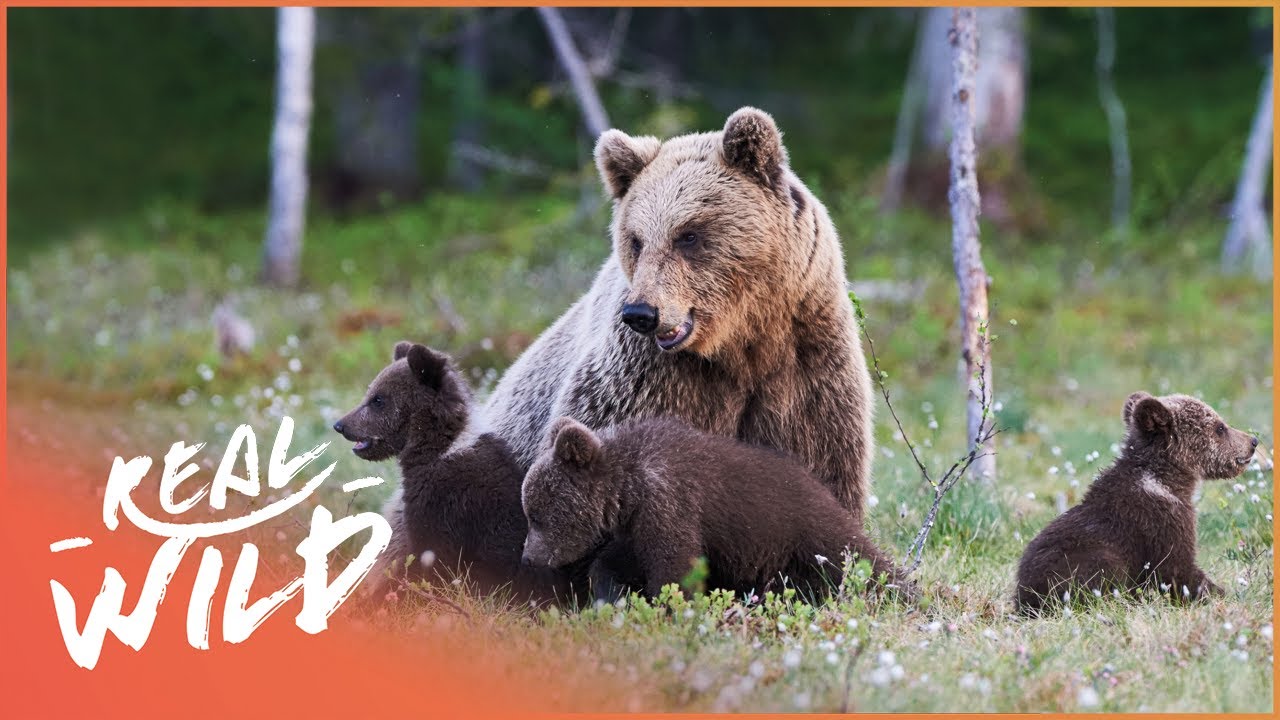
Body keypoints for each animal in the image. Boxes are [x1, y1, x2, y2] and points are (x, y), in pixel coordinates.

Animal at [333, 341, 569, 604]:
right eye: (371, 392)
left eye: (378, 399)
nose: (340, 425)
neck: (438, 448)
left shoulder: (445, 504)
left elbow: (431, 559)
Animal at [483, 107, 883, 566]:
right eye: (636, 240)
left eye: (688, 234)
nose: (641, 314)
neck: (743, 344)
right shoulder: (654, 381)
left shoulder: (804, 368)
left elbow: (819, 468)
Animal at [519, 416, 913, 601]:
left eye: (536, 514)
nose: (528, 557)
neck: (627, 488)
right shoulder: (640, 523)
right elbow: (621, 558)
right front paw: (608, 590)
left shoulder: (670, 502)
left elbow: (675, 568)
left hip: (806, 532)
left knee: (861, 561)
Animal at [1014, 391, 1258, 615]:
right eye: (1219, 427)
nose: (1253, 441)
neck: (1165, 480)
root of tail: (1024, 599)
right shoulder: (1159, 524)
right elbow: (1177, 570)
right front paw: (1226, 595)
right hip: (1083, 561)